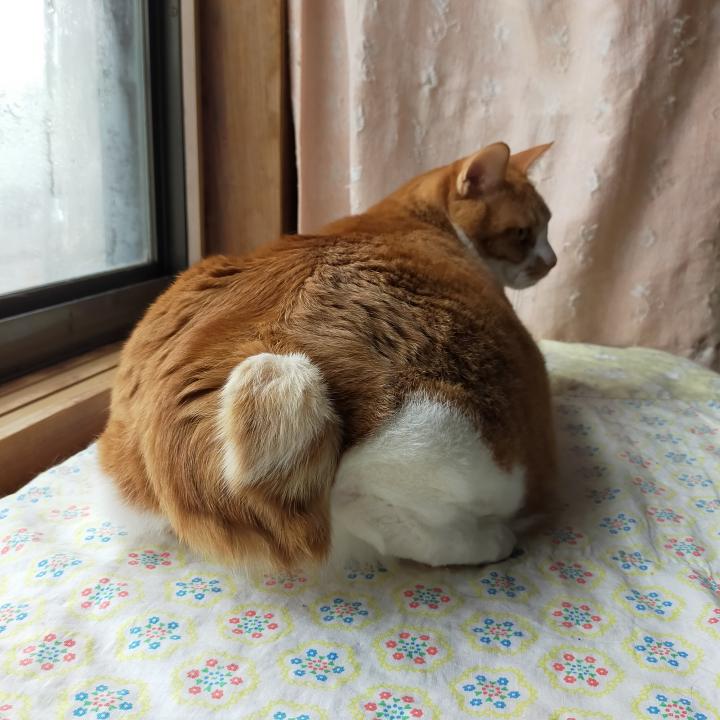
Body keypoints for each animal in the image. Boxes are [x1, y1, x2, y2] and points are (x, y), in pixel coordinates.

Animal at [98, 141, 557, 571]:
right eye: (524, 232)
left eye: (548, 225)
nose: (552, 261)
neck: (415, 215)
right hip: (445, 434)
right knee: (371, 510)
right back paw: (491, 541)